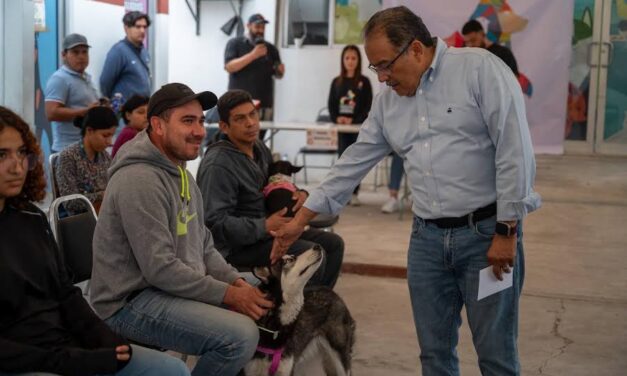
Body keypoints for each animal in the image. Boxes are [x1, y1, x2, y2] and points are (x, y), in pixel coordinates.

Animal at [245, 245, 356, 374]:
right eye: (289, 260)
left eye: (292, 256)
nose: (317, 246)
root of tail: (331, 292)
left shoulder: (286, 369)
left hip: (340, 358)